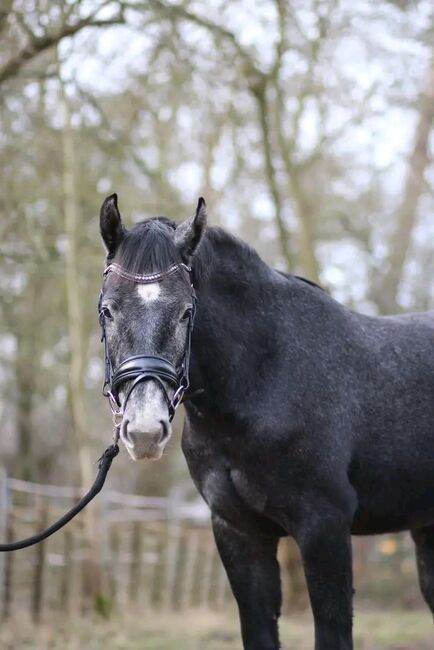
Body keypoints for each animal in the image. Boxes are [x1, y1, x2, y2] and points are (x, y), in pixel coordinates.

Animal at [97, 194, 434, 648]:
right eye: (107, 311)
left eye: (187, 312)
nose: (145, 431)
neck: (265, 379)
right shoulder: (239, 533)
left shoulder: (324, 528)